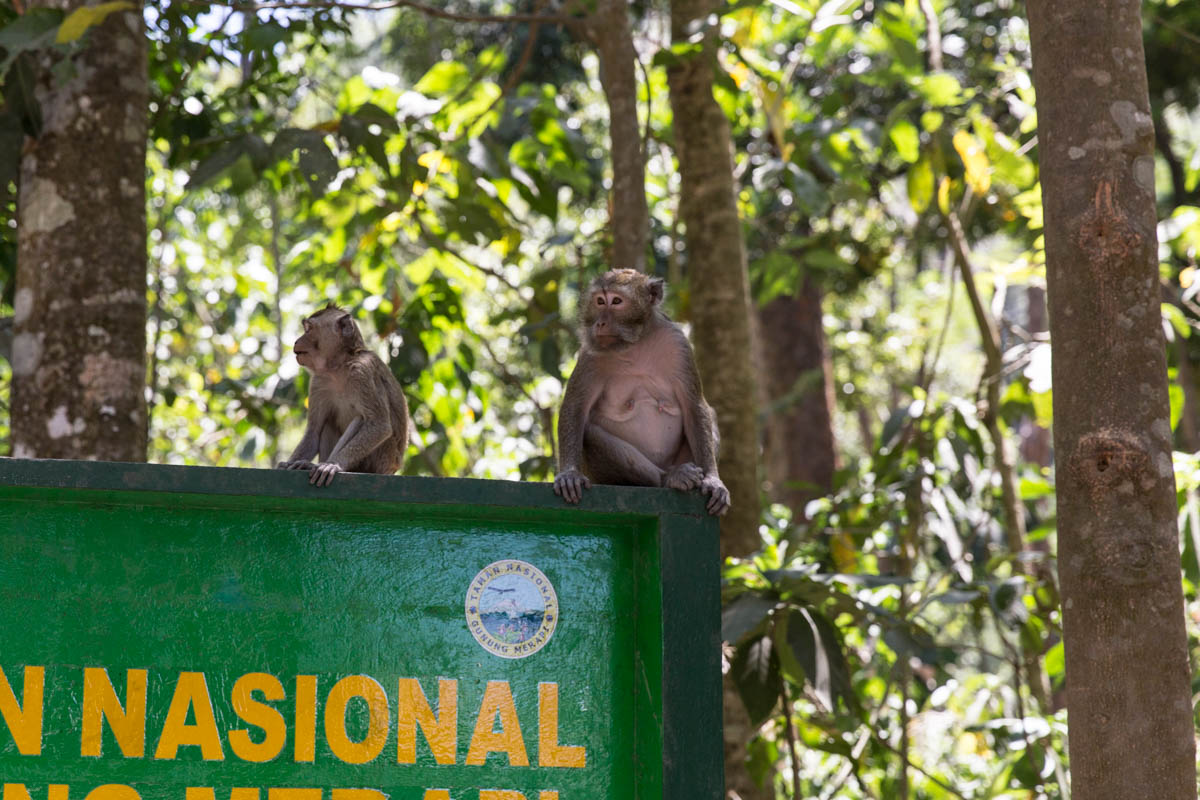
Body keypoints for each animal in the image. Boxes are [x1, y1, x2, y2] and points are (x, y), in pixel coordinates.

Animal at [277, 303, 412, 484]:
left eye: (309, 329)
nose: (297, 340)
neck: (338, 367)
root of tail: (393, 469)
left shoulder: (362, 372)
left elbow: (380, 425)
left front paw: (335, 464)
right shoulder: (319, 382)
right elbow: (314, 431)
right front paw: (290, 463)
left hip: (381, 459)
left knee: (361, 419)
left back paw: (324, 464)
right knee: (328, 423)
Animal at [552, 268, 729, 515]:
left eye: (616, 301)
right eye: (599, 301)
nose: (600, 323)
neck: (635, 344)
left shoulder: (678, 344)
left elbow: (695, 406)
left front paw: (713, 479)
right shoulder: (590, 355)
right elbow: (575, 408)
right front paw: (569, 474)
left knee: (709, 415)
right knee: (590, 434)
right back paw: (669, 478)